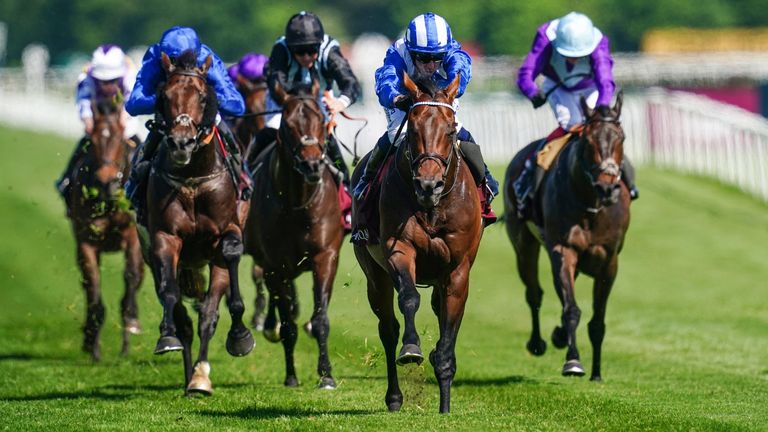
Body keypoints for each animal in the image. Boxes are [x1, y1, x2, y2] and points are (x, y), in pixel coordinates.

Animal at [67, 97, 144, 362]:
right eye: (94, 141)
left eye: (120, 140)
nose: (106, 183)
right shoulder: (86, 239)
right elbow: (93, 282)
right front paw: (93, 344)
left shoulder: (132, 236)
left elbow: (131, 276)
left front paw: (130, 324)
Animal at [142, 50, 254, 394]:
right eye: (164, 95)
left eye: (203, 97)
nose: (182, 142)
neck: (192, 178)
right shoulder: (165, 237)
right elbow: (170, 294)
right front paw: (166, 337)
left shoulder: (227, 229)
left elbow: (231, 253)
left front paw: (240, 336)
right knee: (186, 319)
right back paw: (188, 369)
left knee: (208, 314)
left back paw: (200, 377)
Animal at [244, 79, 344, 390]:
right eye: (288, 125)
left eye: (321, 120)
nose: (312, 165)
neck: (298, 202)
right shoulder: (276, 265)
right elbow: (287, 323)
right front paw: (291, 375)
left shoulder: (325, 255)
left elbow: (321, 318)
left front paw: (326, 375)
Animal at [352, 75, 480, 416]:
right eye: (412, 129)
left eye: (450, 130)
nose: (428, 185)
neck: (433, 206)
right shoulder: (399, 248)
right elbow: (409, 298)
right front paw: (411, 349)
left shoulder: (457, 269)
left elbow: (449, 325)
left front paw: (445, 403)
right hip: (373, 274)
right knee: (387, 328)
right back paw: (395, 397)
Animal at [504, 92, 632, 382]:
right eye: (589, 140)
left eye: (621, 137)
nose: (608, 187)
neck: (591, 205)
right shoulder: (563, 250)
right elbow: (571, 309)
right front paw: (573, 361)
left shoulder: (609, 261)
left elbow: (597, 321)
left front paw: (596, 373)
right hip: (523, 243)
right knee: (534, 293)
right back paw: (538, 342)